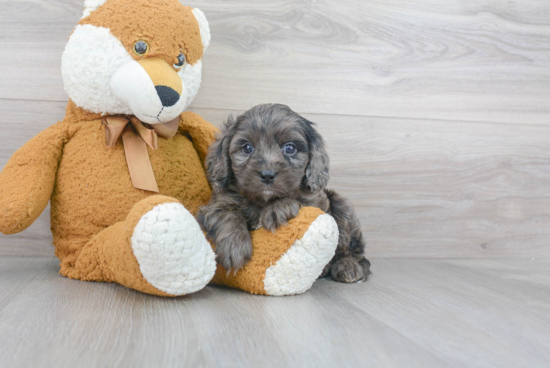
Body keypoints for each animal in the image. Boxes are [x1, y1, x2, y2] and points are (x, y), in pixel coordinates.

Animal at [196, 105, 374, 284]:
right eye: (247, 148)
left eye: (290, 148)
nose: (267, 175)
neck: (263, 200)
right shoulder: (216, 204)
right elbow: (227, 214)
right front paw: (234, 247)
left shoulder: (316, 202)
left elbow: (297, 200)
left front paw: (278, 207)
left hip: (342, 207)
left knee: (354, 252)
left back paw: (347, 267)